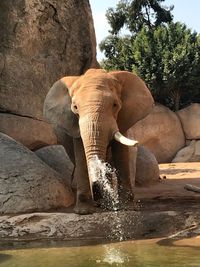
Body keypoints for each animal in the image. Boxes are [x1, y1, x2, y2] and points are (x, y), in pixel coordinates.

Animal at [43, 69, 154, 216]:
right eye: (75, 107)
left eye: (115, 105)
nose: (97, 191)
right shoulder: (74, 125)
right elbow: (81, 154)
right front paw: (83, 211)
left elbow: (121, 152)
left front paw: (127, 207)